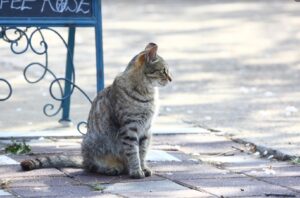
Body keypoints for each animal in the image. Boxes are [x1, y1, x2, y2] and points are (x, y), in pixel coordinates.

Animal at [20, 42, 171, 179]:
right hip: (91, 145)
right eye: (163, 70)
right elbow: (133, 152)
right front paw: (136, 171)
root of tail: (83, 159)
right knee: (92, 166)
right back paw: (111, 168)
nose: (171, 79)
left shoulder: (146, 130)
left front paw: (143, 168)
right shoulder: (129, 128)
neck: (148, 94)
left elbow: (143, 152)